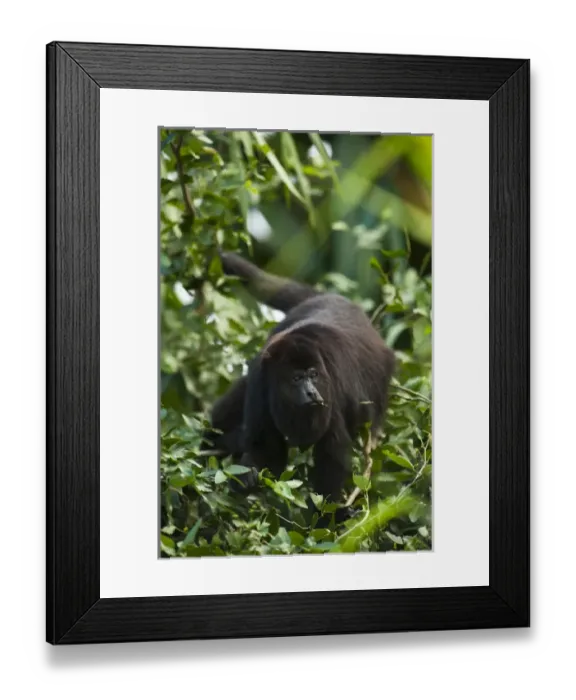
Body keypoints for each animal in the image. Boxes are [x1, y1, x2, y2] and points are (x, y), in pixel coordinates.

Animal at [204, 251, 396, 520]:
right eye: (296, 378)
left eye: (313, 375)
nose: (311, 392)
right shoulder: (260, 380)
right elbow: (266, 447)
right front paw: (247, 476)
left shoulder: (331, 390)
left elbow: (332, 453)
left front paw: (329, 515)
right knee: (236, 397)